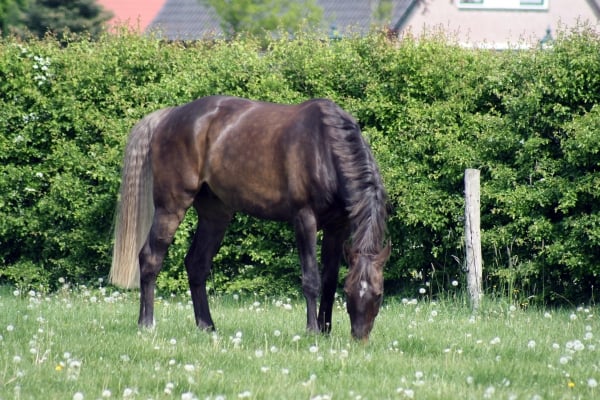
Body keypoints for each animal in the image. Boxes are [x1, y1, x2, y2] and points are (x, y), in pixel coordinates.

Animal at [110, 95, 392, 340]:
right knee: (150, 258)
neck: (325, 148)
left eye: (379, 294)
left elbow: (329, 280)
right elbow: (311, 278)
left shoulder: (337, 227)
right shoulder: (304, 219)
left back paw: (207, 326)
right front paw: (313, 330)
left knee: (196, 264)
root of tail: (168, 116)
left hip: (215, 215)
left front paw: (326, 331)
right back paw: (146, 323)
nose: (360, 337)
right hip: (171, 206)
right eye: (350, 291)